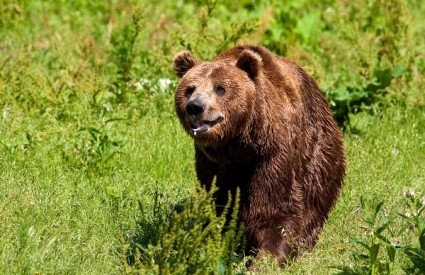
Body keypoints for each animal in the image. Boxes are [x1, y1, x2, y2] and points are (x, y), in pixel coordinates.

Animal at [171, 44, 344, 266]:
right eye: (189, 88)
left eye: (220, 88)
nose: (195, 107)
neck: (238, 144)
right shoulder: (210, 162)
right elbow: (218, 202)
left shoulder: (271, 153)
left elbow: (274, 206)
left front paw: (267, 256)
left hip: (318, 149)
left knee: (315, 195)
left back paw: (303, 243)